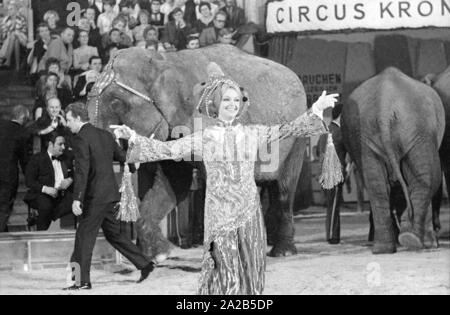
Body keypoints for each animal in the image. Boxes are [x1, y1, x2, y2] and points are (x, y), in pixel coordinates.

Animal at [87, 45, 312, 260]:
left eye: (116, 102)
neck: (165, 59)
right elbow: (173, 184)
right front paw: (160, 255)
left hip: (296, 140)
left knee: (284, 189)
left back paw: (283, 252)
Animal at [342, 68, 444, 256]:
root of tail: (384, 108)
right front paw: (431, 243)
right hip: (419, 130)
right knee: (428, 178)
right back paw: (413, 240)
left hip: (365, 137)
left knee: (376, 185)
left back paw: (386, 247)